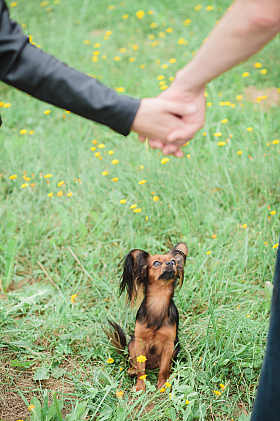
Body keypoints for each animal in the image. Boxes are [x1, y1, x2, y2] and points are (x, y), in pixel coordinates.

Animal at [105, 241, 188, 392]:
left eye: (173, 261)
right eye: (156, 263)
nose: (171, 263)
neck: (158, 299)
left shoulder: (169, 345)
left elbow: (163, 369)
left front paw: (162, 386)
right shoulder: (140, 342)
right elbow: (141, 370)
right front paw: (140, 386)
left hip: (176, 346)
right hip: (132, 342)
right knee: (134, 364)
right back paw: (132, 371)